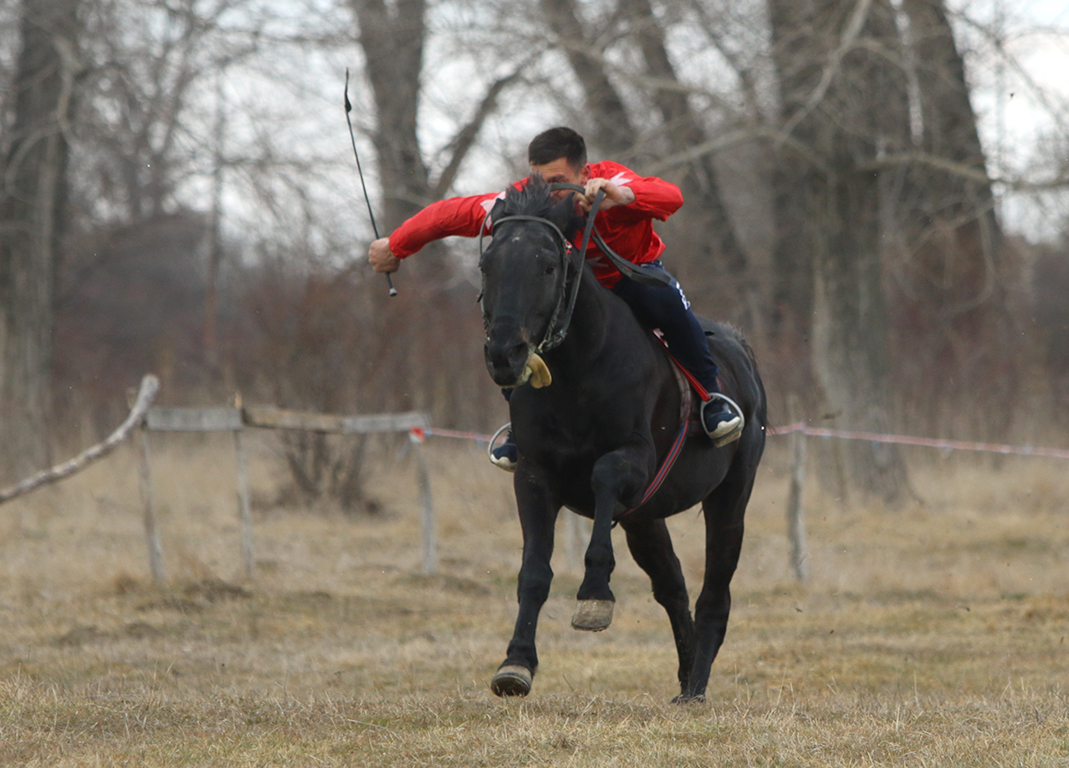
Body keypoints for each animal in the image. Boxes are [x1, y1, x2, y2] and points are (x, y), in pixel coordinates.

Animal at [481, 176, 765, 705]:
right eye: (488, 265)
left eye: (547, 265)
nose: (504, 354)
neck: (578, 370)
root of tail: (739, 348)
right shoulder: (533, 476)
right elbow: (534, 572)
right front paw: (516, 663)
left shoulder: (634, 458)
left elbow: (605, 473)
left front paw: (595, 594)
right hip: (645, 518)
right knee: (672, 586)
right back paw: (687, 673)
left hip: (730, 498)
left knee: (714, 590)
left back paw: (697, 684)